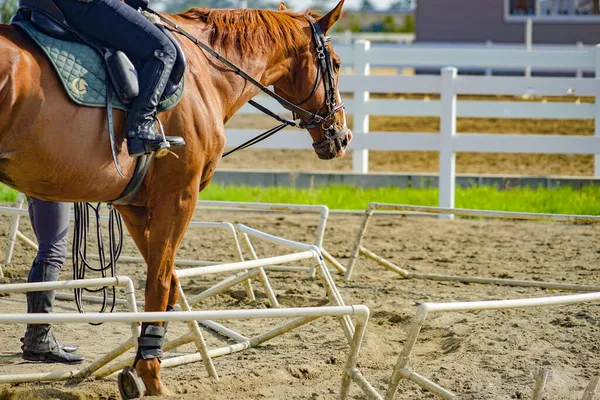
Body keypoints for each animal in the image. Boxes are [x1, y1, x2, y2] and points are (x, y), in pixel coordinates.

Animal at [0, 0, 352, 396]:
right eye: (337, 64)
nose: (342, 136)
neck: (206, 73)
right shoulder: (179, 196)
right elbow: (161, 283)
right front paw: (151, 376)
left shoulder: (135, 206)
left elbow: (167, 283)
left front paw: (140, 365)